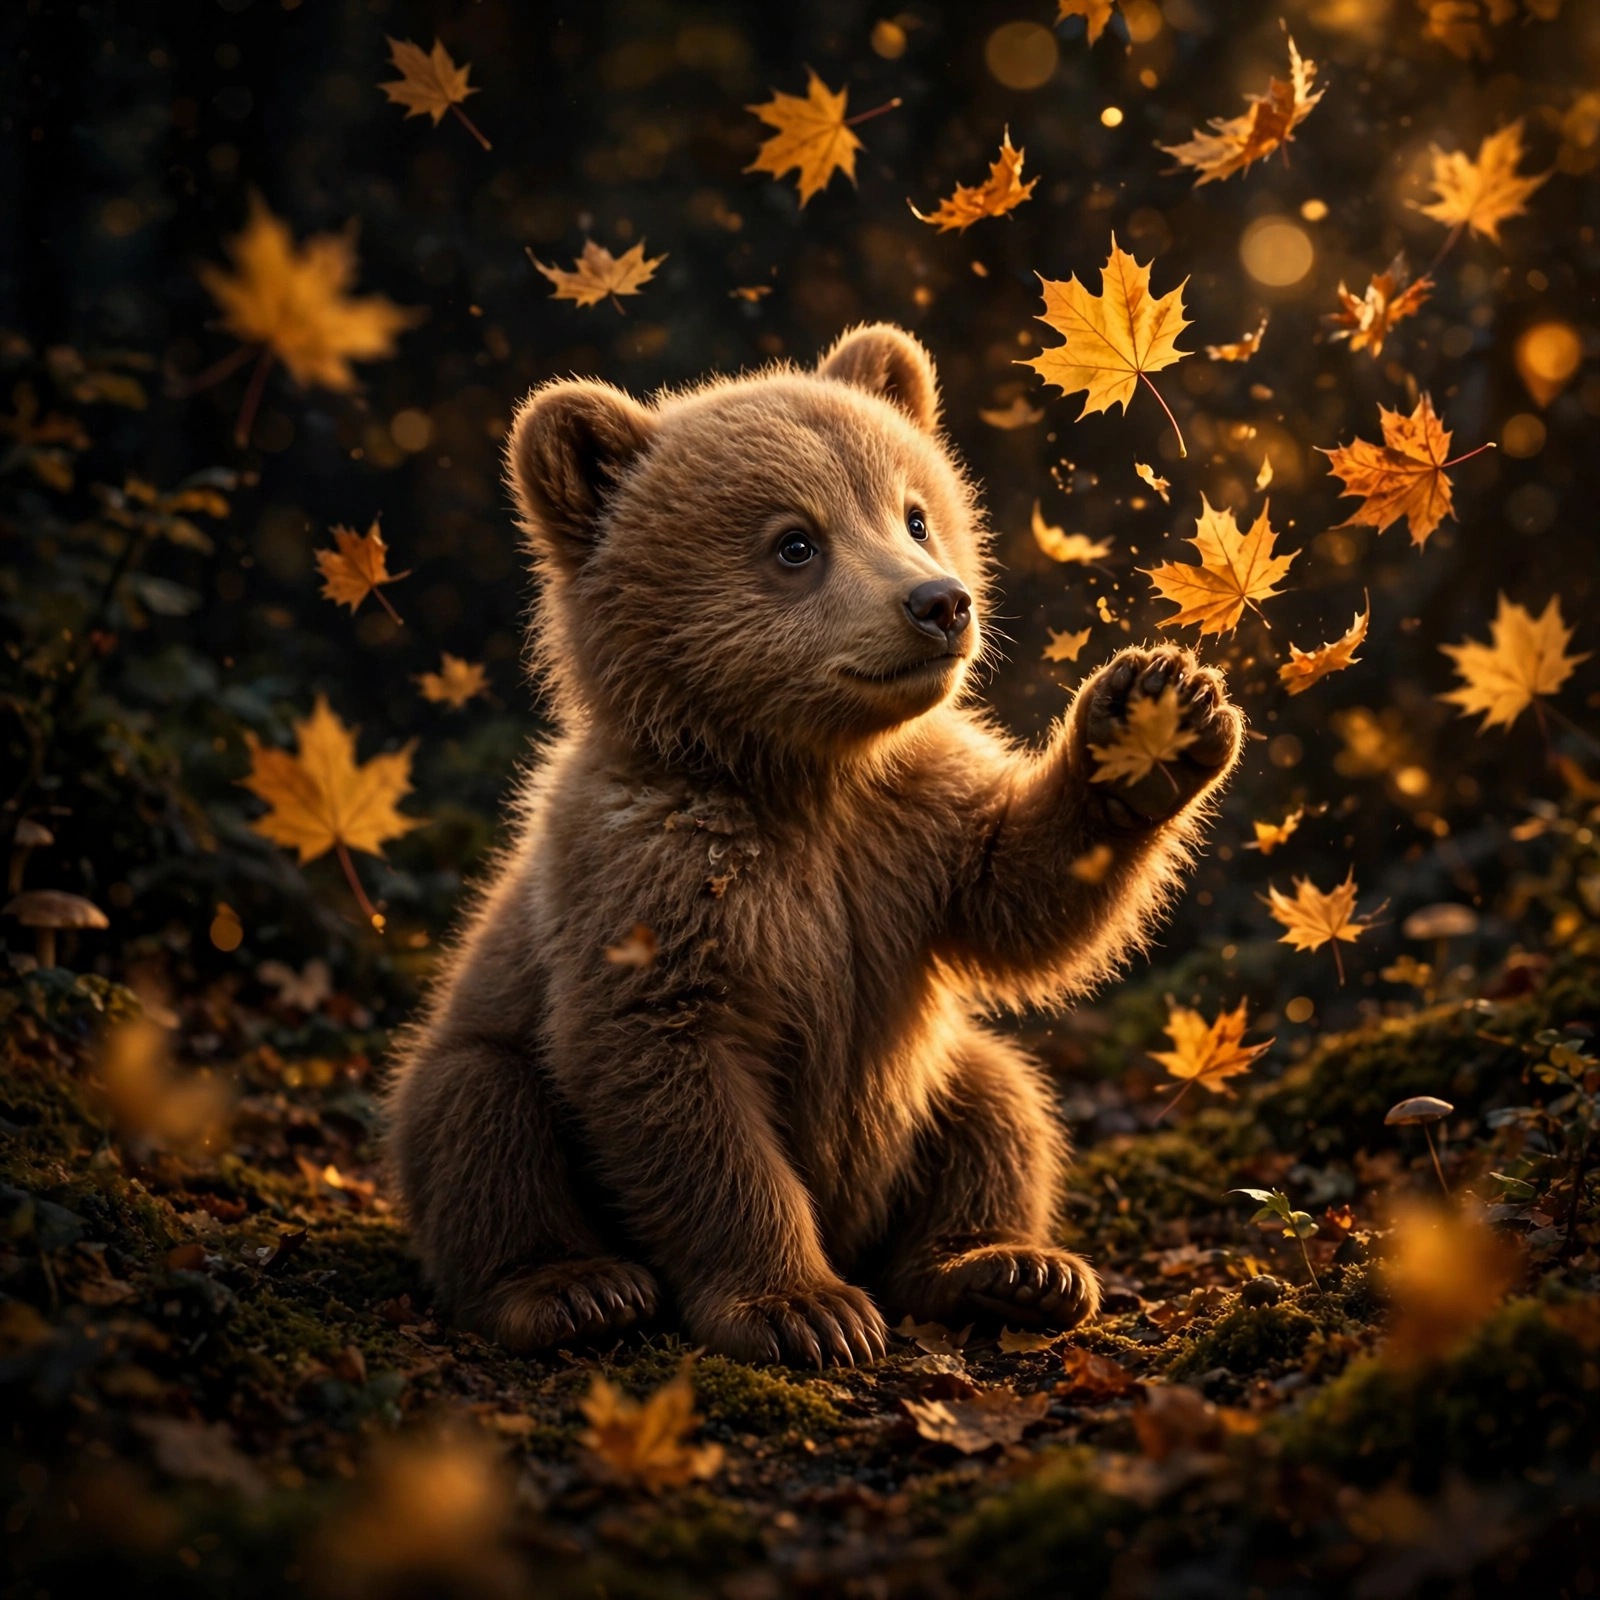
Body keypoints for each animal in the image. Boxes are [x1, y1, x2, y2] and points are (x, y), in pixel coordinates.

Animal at [385, 324, 1243, 1366]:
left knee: (999, 1100)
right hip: (478, 1061)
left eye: (914, 514)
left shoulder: (908, 834)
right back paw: (571, 1288)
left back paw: (1006, 1266)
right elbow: (678, 1085)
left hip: (932, 1076)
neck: (803, 777)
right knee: (482, 1116)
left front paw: (1157, 715)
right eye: (795, 542)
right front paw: (803, 1307)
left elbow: (1020, 897)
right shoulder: (653, 873)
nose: (940, 603)